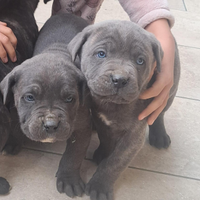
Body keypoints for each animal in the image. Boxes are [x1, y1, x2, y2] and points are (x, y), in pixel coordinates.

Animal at [0, 13, 91, 197]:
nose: (50, 125)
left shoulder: (83, 127)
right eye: (29, 97)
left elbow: (74, 154)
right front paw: (12, 142)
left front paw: (69, 180)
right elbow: (15, 126)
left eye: (70, 99)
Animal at [66, 19, 180, 198]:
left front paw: (99, 186)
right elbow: (106, 140)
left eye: (140, 61)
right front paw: (103, 153)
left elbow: (116, 162)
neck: (114, 105)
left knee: (159, 113)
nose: (119, 79)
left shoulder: (133, 137)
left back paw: (159, 136)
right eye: (101, 54)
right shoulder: (100, 119)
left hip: (170, 90)